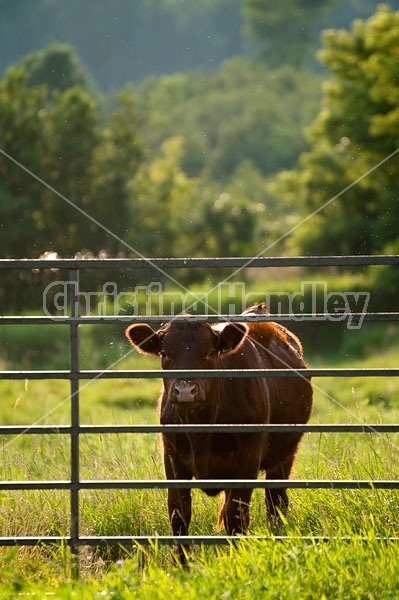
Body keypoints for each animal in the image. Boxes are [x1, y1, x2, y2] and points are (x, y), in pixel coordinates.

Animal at [126, 304, 314, 564]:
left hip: (284, 456)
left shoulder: (248, 458)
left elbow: (236, 516)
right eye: (165, 354)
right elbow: (179, 514)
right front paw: (182, 566)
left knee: (275, 504)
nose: (185, 390)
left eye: (209, 353)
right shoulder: (172, 458)